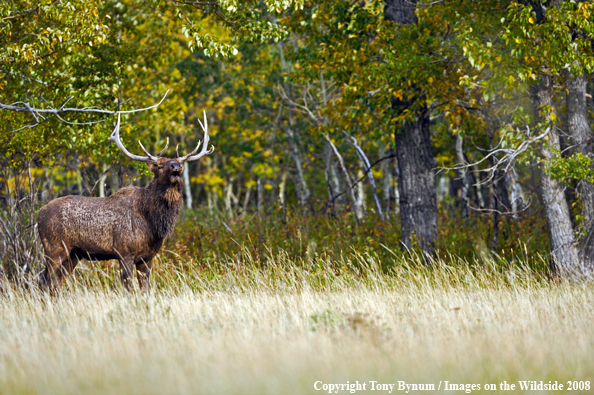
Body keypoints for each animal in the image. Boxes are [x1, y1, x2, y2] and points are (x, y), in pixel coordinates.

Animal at [37, 113, 213, 292]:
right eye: (159, 165)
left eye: (182, 164)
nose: (175, 167)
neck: (153, 223)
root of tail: (39, 212)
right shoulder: (124, 252)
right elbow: (128, 288)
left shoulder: (147, 258)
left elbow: (145, 289)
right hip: (54, 248)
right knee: (44, 281)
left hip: (74, 254)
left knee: (54, 283)